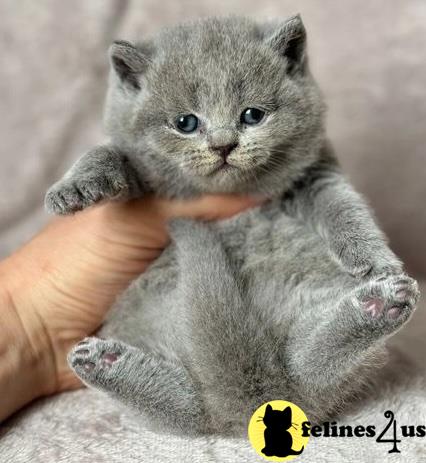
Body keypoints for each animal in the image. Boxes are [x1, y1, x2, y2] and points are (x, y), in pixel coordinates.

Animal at [45, 16, 418, 436]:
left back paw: (381, 304)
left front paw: (376, 259)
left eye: (252, 115)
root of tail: (251, 396)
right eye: (185, 123)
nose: (223, 145)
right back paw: (103, 363)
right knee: (190, 409)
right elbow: (106, 152)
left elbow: (343, 206)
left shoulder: (316, 172)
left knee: (307, 373)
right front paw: (73, 188)